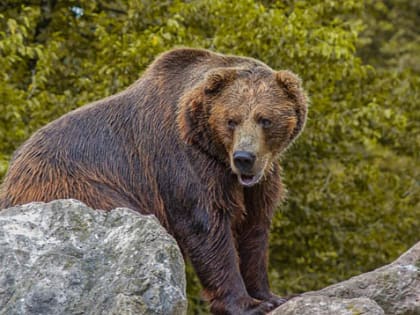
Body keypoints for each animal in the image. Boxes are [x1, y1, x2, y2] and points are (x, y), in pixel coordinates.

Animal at [0, 47, 308, 315]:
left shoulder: (258, 183)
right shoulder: (186, 162)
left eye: (265, 119)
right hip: (76, 187)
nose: (244, 157)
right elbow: (206, 226)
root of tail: (11, 174)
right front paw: (247, 304)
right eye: (231, 120)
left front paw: (271, 296)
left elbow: (254, 229)